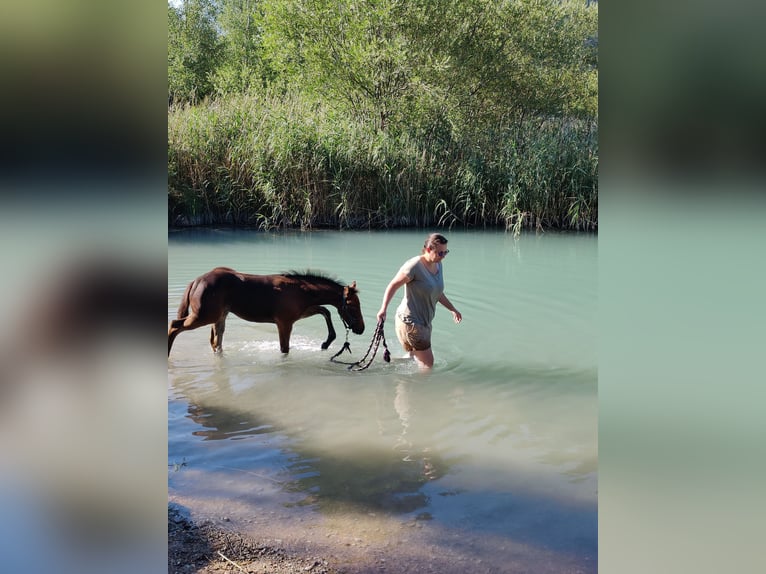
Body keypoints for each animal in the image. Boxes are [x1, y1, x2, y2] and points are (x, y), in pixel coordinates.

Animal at [168, 268, 366, 358]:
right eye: (353, 306)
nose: (361, 329)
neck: (301, 291)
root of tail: (196, 281)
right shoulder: (285, 323)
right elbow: (284, 349)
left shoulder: (302, 312)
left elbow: (325, 311)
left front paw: (327, 342)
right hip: (202, 316)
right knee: (174, 325)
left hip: (219, 316)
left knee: (217, 342)